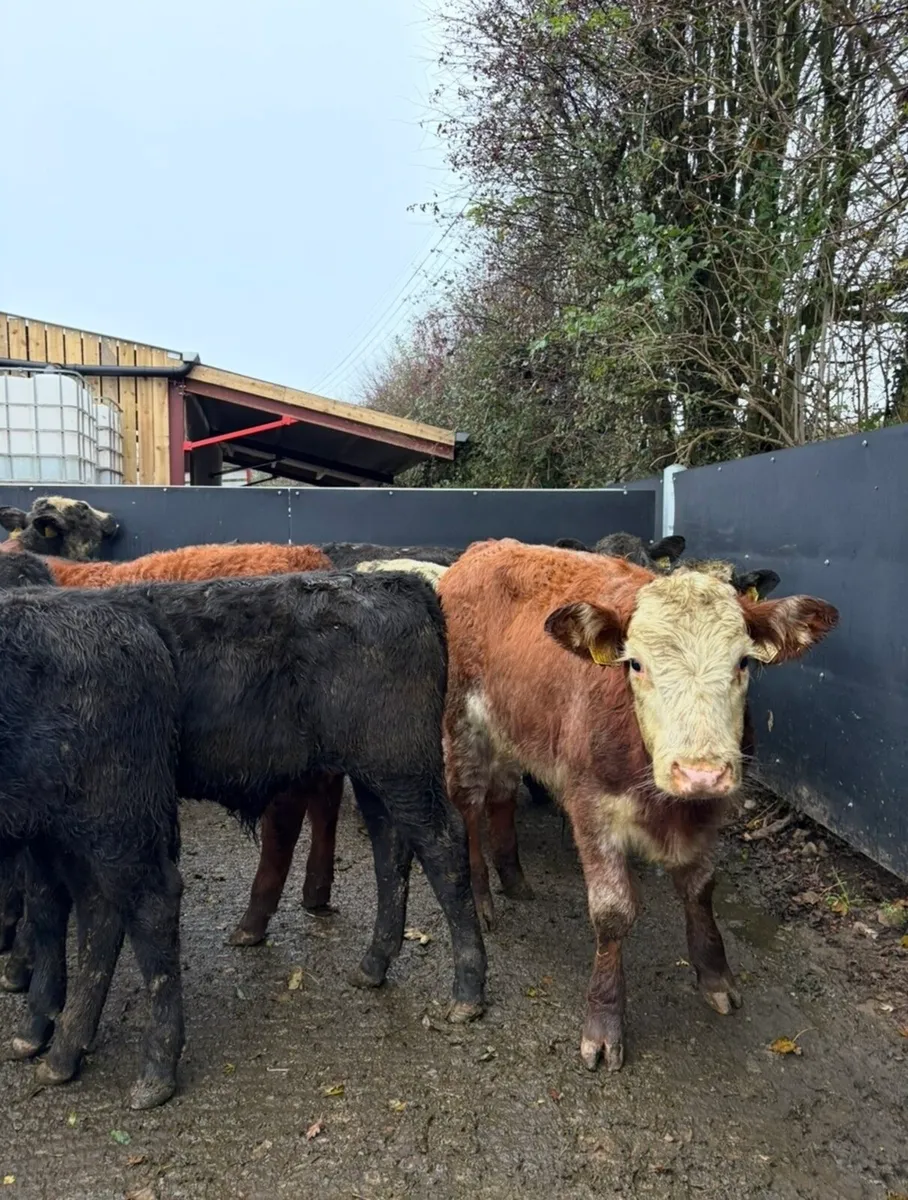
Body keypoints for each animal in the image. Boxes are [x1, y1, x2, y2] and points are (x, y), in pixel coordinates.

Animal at [437, 538, 837, 1072]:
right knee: (468, 804)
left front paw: (715, 976)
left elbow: (701, 888)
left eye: (743, 663)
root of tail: (483, 549)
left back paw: (514, 878)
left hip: (513, 725)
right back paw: (481, 897)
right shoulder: (591, 806)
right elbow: (612, 912)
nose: (699, 771)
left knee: (501, 793)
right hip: (462, 725)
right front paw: (604, 1021)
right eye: (636, 664)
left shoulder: (711, 810)